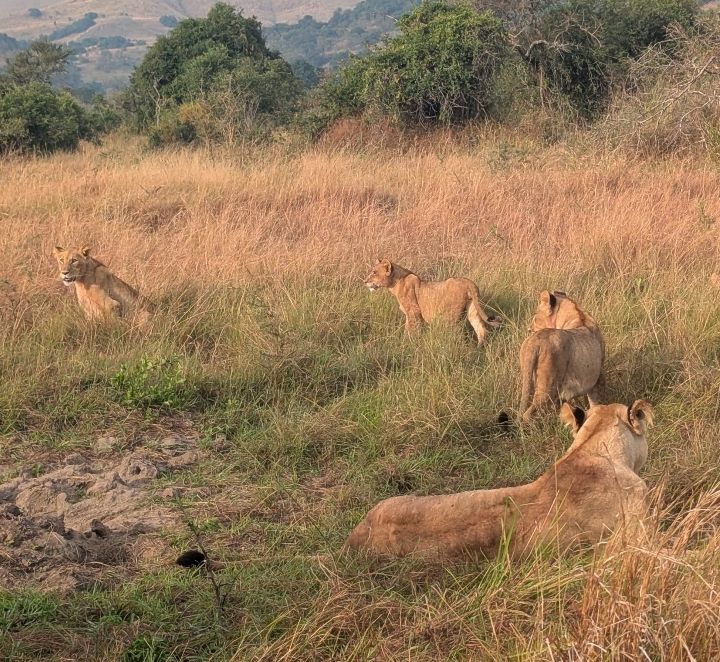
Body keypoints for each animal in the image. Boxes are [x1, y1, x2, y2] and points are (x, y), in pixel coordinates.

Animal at [364, 259, 501, 344]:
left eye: (374, 272)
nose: (364, 281)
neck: (395, 283)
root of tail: (469, 283)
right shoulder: (409, 314)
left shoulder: (414, 311)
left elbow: (411, 330)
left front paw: (407, 345)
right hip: (472, 309)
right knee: (482, 330)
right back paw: (479, 349)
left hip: (450, 317)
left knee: (456, 334)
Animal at [519, 291, 604, 421]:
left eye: (535, 318)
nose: (529, 329)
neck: (579, 315)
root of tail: (536, 340)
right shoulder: (596, 378)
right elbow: (594, 401)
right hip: (547, 389)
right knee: (528, 413)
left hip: (530, 376)